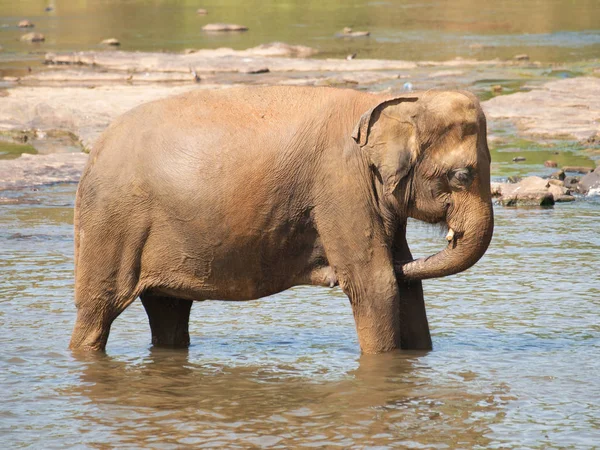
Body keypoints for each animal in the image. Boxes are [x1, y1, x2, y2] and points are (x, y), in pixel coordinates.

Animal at [69, 86, 492, 356]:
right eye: (461, 176)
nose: (324, 270)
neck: (392, 102)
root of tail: (94, 151)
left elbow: (406, 288)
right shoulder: (339, 186)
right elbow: (376, 283)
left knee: (168, 312)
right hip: (111, 223)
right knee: (98, 310)